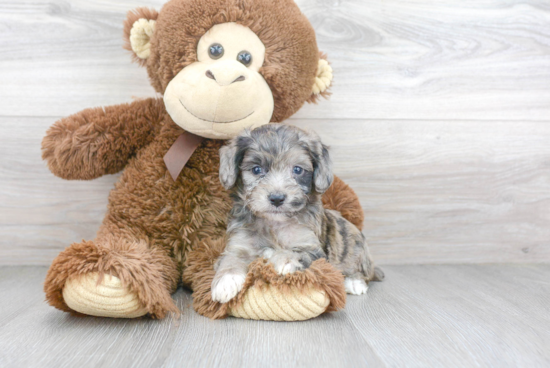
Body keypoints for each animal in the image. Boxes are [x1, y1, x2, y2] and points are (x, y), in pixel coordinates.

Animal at [211, 123, 384, 302]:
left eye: (297, 170)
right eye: (257, 169)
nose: (277, 198)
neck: (274, 223)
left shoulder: (313, 249)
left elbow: (295, 252)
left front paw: (283, 259)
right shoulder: (239, 243)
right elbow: (230, 258)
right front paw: (226, 280)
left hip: (355, 244)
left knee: (364, 272)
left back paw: (354, 282)